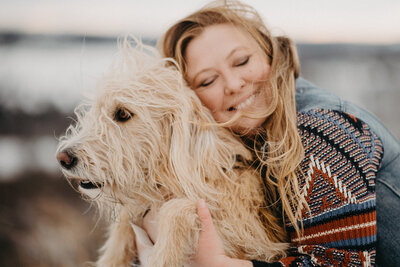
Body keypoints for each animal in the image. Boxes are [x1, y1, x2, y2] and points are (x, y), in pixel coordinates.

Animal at [56, 40, 288, 267]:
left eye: (122, 113)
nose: (63, 158)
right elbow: (121, 230)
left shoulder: (253, 241)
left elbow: (177, 206)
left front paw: (163, 256)